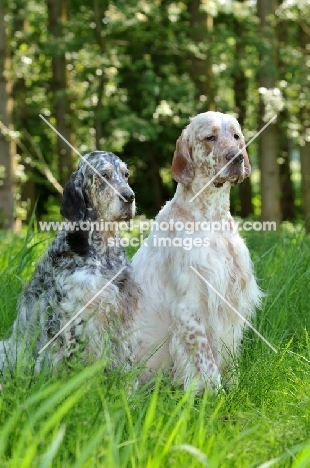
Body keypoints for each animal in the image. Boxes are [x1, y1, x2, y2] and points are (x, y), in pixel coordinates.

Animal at [0, 152, 140, 374]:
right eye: (103, 175)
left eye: (126, 175)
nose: (129, 196)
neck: (103, 252)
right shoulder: (70, 311)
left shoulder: (123, 307)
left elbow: (124, 353)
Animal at [132, 111, 262, 394]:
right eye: (210, 137)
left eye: (236, 136)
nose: (236, 157)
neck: (211, 218)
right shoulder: (190, 306)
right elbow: (206, 361)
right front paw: (216, 396)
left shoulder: (232, 300)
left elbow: (230, 355)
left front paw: (235, 388)